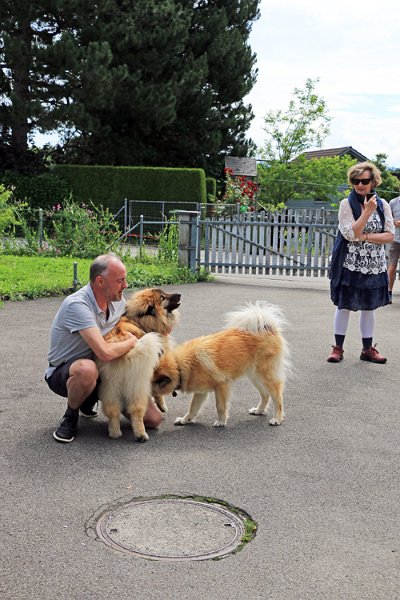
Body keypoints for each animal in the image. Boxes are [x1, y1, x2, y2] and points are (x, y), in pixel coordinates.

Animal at [98, 288, 181, 440]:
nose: (179, 294)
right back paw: (141, 434)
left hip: (109, 386)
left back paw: (115, 433)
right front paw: (162, 406)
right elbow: (158, 391)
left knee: (112, 410)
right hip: (137, 386)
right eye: (162, 298)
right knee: (136, 410)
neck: (141, 320)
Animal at [152, 302, 290, 428]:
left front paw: (221, 421)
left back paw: (277, 419)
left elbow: (220, 406)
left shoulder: (221, 386)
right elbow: (193, 408)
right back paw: (259, 410)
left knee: (278, 398)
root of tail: (267, 327)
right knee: (265, 395)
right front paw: (185, 420)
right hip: (255, 377)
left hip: (266, 376)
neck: (179, 365)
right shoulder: (201, 392)